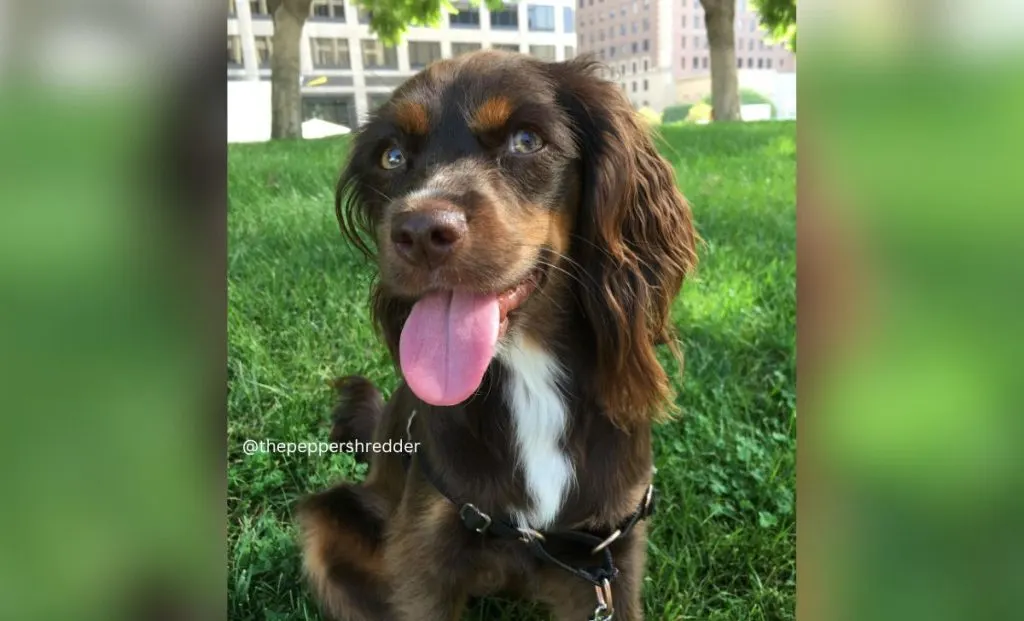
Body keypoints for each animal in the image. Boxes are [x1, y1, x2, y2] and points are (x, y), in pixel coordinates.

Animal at [294, 49, 696, 621]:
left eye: (526, 140)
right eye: (391, 156)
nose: (419, 232)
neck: (529, 375)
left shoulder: (608, 558)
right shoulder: (423, 560)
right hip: (327, 522)